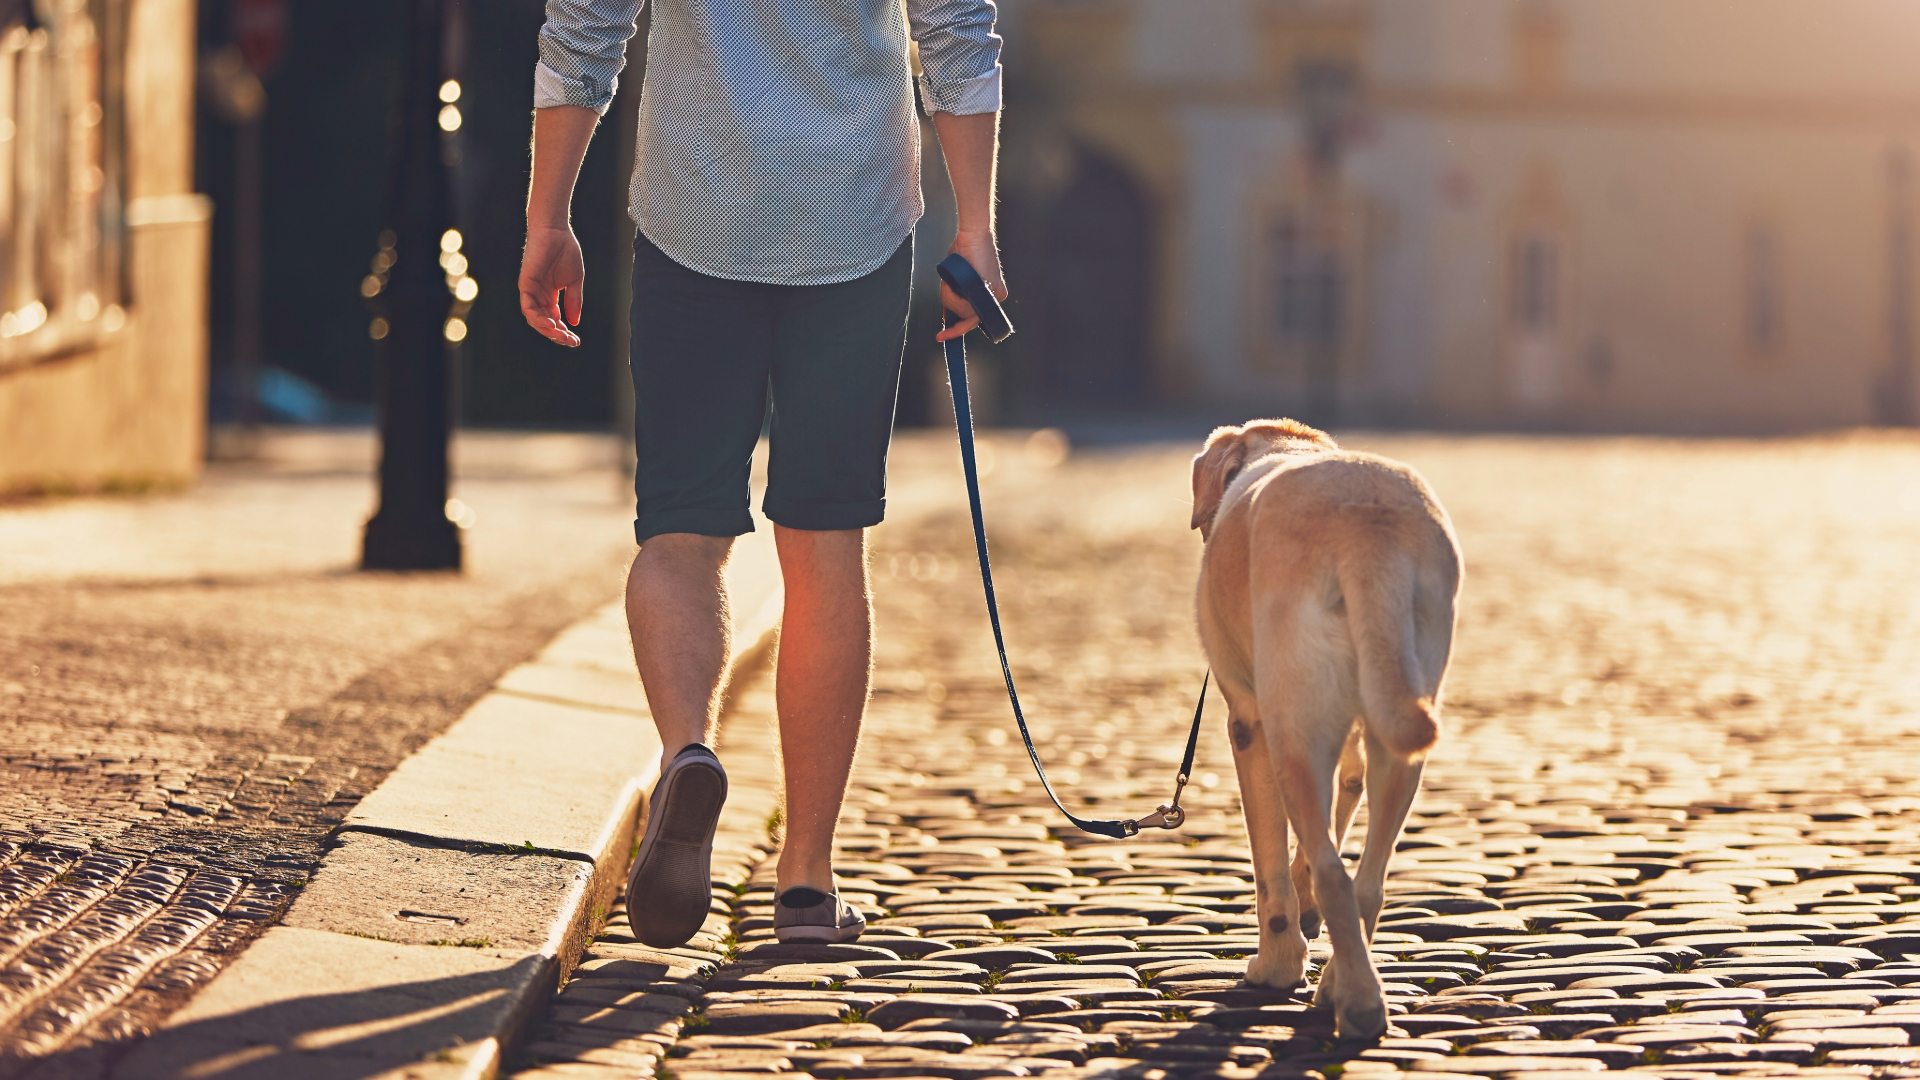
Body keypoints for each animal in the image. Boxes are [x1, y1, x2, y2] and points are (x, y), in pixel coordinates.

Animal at [1190, 418, 1459, 1037]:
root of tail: (1365, 529)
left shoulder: (1249, 724)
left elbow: (1271, 867)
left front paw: (1277, 967)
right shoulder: (1351, 738)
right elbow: (1335, 812)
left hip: (1291, 727)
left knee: (1336, 872)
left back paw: (1353, 1002)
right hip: (1398, 730)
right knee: (1369, 880)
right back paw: (1344, 981)